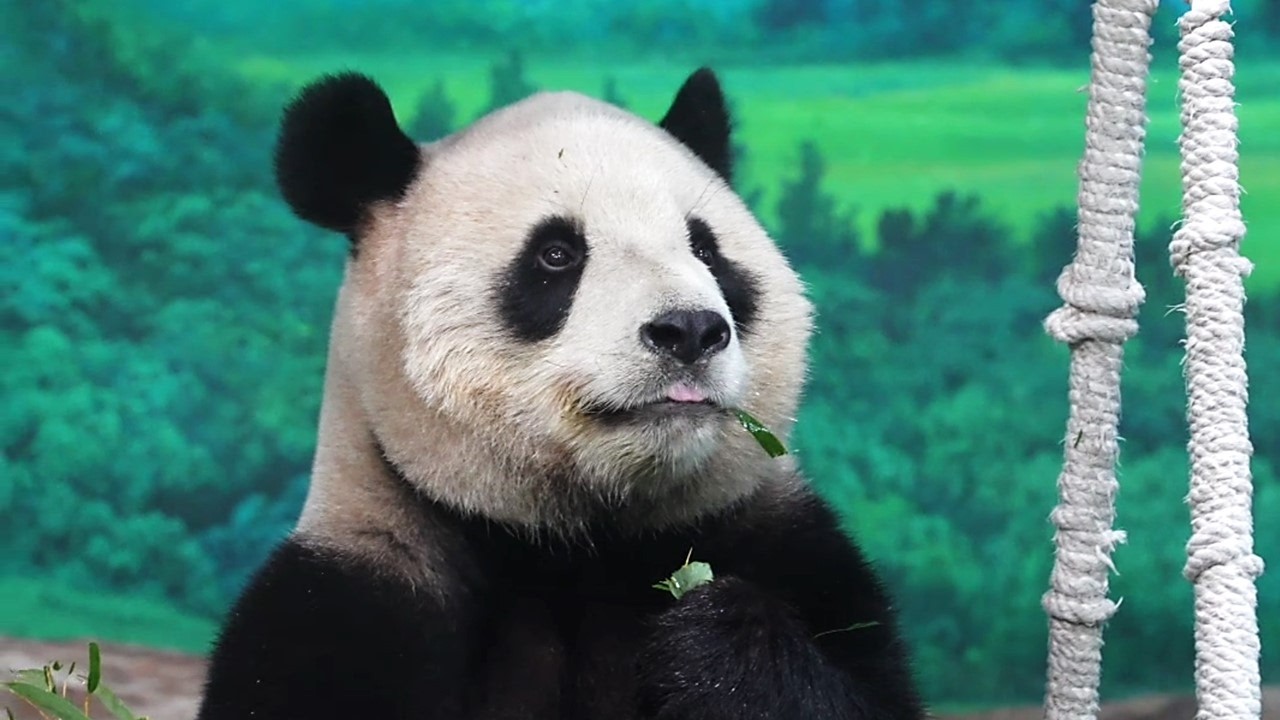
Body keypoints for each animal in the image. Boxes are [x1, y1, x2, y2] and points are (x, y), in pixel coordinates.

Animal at [195, 67, 926, 720]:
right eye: (556, 254)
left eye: (706, 250)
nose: (689, 330)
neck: (576, 544)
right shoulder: (344, 611)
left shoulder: (794, 553)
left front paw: (717, 644)